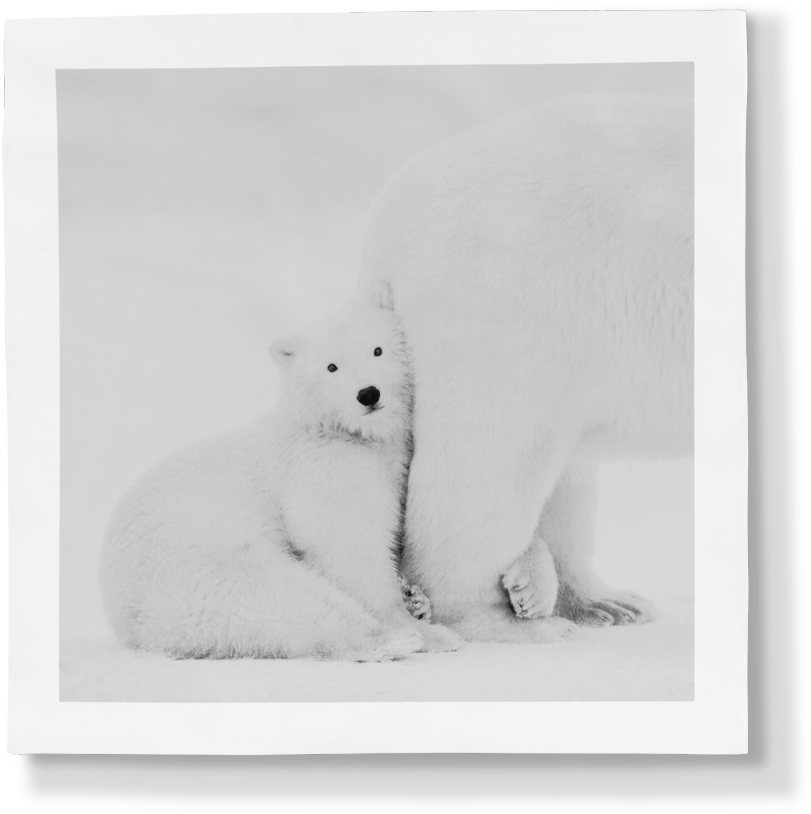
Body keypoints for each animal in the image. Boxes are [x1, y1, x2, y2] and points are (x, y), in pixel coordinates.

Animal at [98, 282, 463, 661]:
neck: (333, 430)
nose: (368, 393)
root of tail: (126, 619)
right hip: (194, 562)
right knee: (280, 597)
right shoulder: (322, 468)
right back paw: (395, 639)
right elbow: (348, 544)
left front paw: (414, 598)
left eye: (377, 349)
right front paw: (414, 624)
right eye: (331, 366)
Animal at [356, 94, 694, 644]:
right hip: (516, 311)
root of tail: (385, 220)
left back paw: (606, 603)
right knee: (488, 465)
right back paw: (510, 622)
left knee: (567, 470)